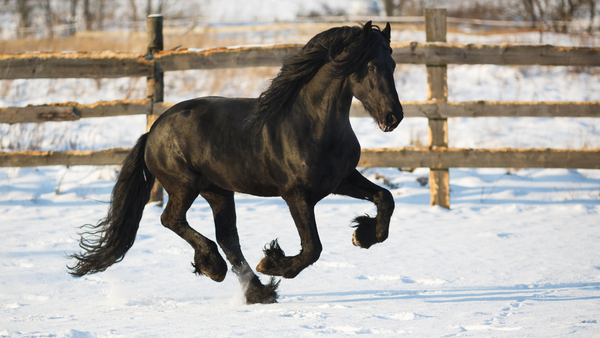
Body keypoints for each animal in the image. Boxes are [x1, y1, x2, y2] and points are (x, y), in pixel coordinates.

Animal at [69, 22, 404, 304]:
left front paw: (362, 236)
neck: (311, 125)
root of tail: (152, 131)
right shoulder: (296, 194)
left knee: (228, 238)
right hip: (184, 185)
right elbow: (313, 248)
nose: (393, 117)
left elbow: (385, 198)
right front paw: (272, 262)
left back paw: (257, 291)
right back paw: (215, 267)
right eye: (371, 66)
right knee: (172, 220)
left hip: (218, 191)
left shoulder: (342, 179)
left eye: (393, 64)